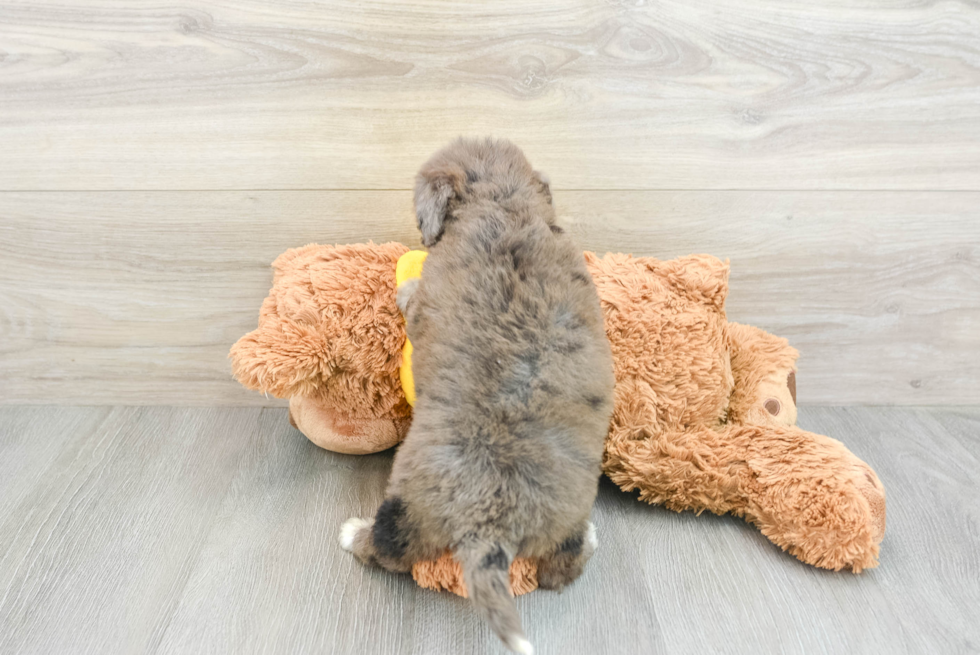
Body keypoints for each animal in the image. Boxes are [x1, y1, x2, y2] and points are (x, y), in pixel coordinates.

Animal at [338, 138, 612, 655]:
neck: (503, 203)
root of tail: (492, 525)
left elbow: (412, 295)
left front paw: (403, 285)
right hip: (565, 512)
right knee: (559, 571)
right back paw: (587, 540)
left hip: (411, 505)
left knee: (391, 549)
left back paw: (354, 535)